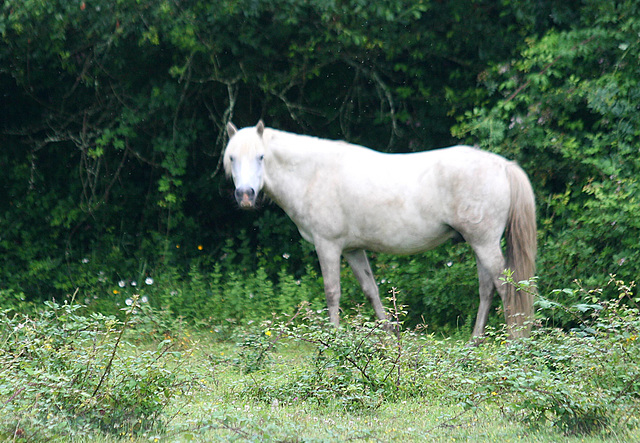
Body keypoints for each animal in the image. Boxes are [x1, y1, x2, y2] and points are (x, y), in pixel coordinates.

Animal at [222, 119, 536, 338]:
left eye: (261, 157)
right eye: (232, 158)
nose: (246, 195)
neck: (313, 174)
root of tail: (502, 165)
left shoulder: (328, 245)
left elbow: (332, 292)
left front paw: (333, 339)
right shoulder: (352, 250)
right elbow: (371, 290)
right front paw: (389, 337)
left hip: (484, 242)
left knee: (506, 288)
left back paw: (513, 340)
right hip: (479, 243)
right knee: (487, 290)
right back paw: (475, 341)